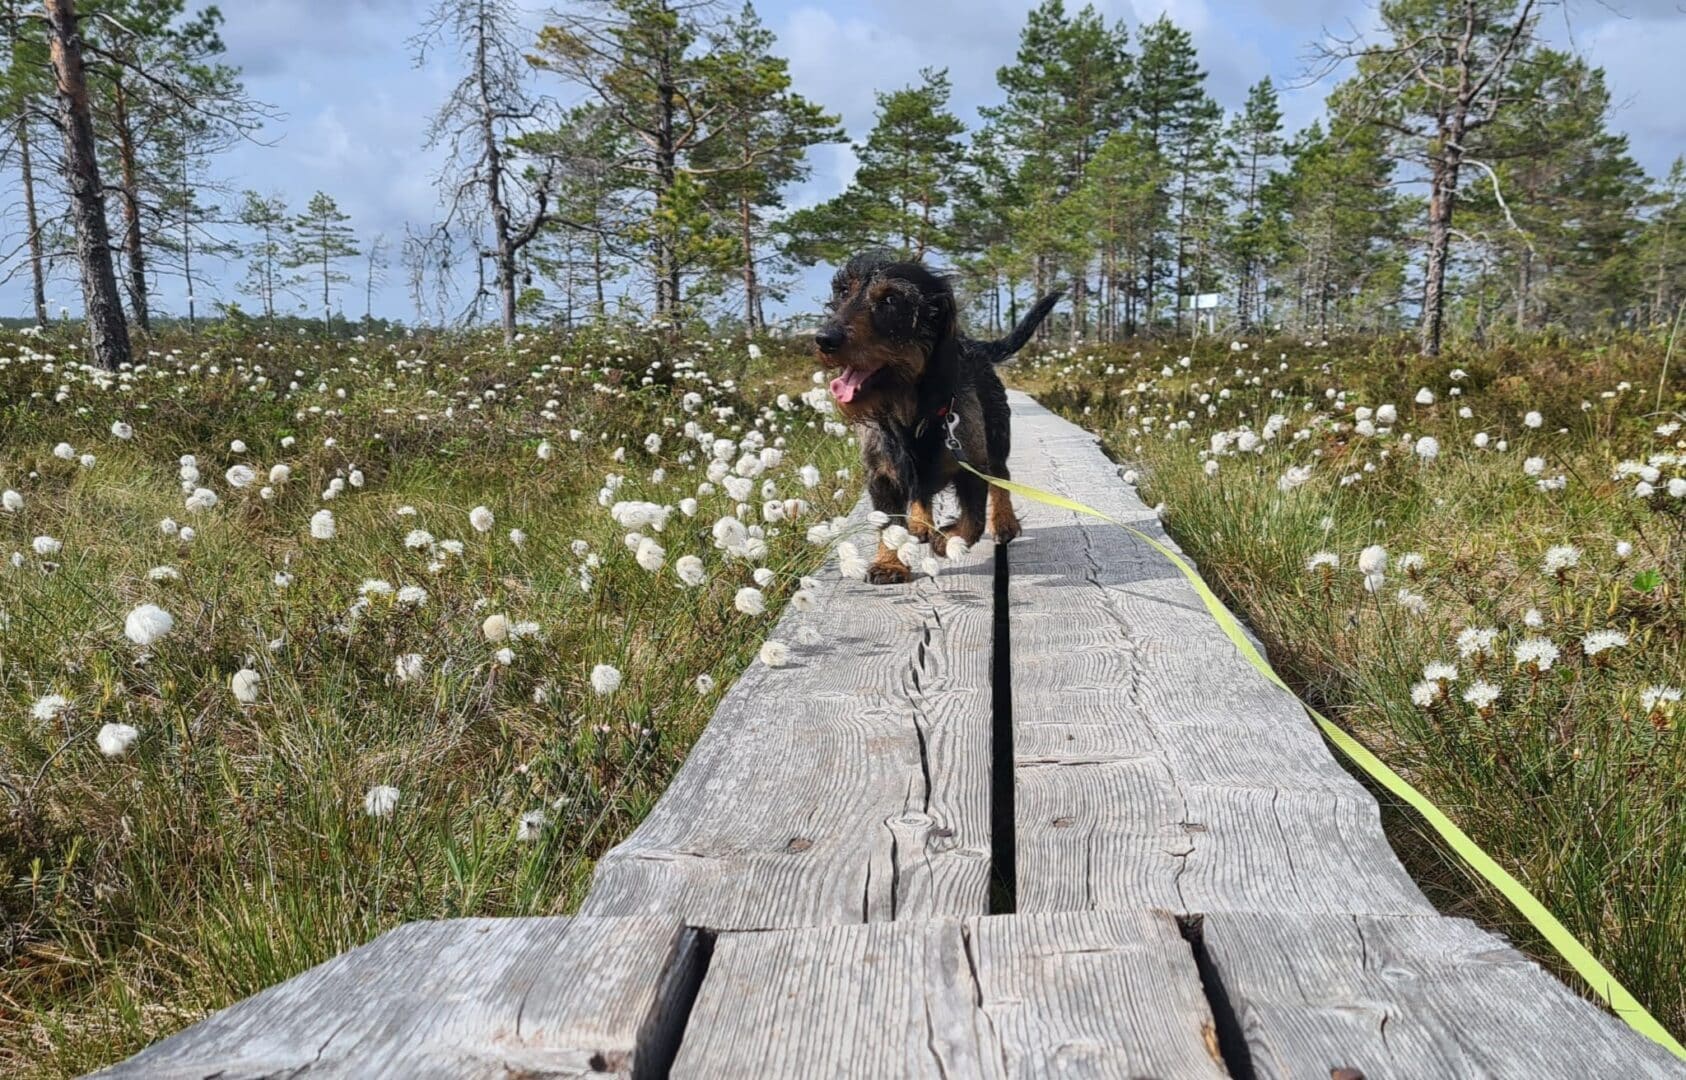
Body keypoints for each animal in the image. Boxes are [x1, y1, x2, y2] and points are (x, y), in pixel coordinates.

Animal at [816, 251, 1065, 586]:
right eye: (843, 291)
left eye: (891, 299)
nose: (823, 339)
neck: (909, 412)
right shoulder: (881, 476)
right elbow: (889, 526)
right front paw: (889, 564)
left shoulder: (972, 467)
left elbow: (973, 521)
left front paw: (948, 540)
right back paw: (920, 523)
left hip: (997, 438)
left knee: (1001, 479)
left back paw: (1004, 522)